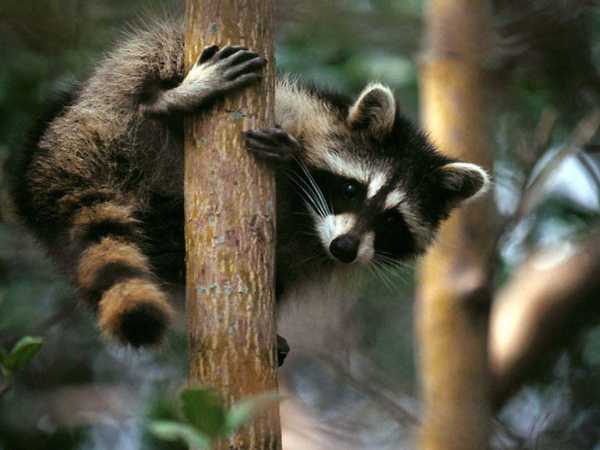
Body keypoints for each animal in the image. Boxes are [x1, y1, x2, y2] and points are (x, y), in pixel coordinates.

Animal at [7, 19, 490, 352]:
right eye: (352, 190)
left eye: (391, 220)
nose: (345, 249)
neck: (308, 221)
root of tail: (60, 146)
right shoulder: (296, 106)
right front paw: (290, 160)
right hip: (109, 99)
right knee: (155, 55)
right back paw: (166, 102)